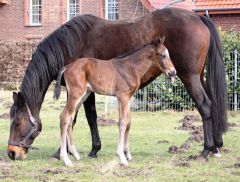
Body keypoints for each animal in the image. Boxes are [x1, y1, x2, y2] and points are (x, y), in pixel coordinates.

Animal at [54, 36, 176, 166]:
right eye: (163, 55)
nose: (173, 72)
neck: (130, 68)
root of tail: (68, 66)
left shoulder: (128, 97)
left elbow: (128, 123)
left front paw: (128, 154)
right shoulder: (122, 96)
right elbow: (122, 122)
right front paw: (122, 157)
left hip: (84, 95)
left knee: (70, 118)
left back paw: (75, 154)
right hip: (76, 94)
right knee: (64, 117)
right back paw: (66, 159)